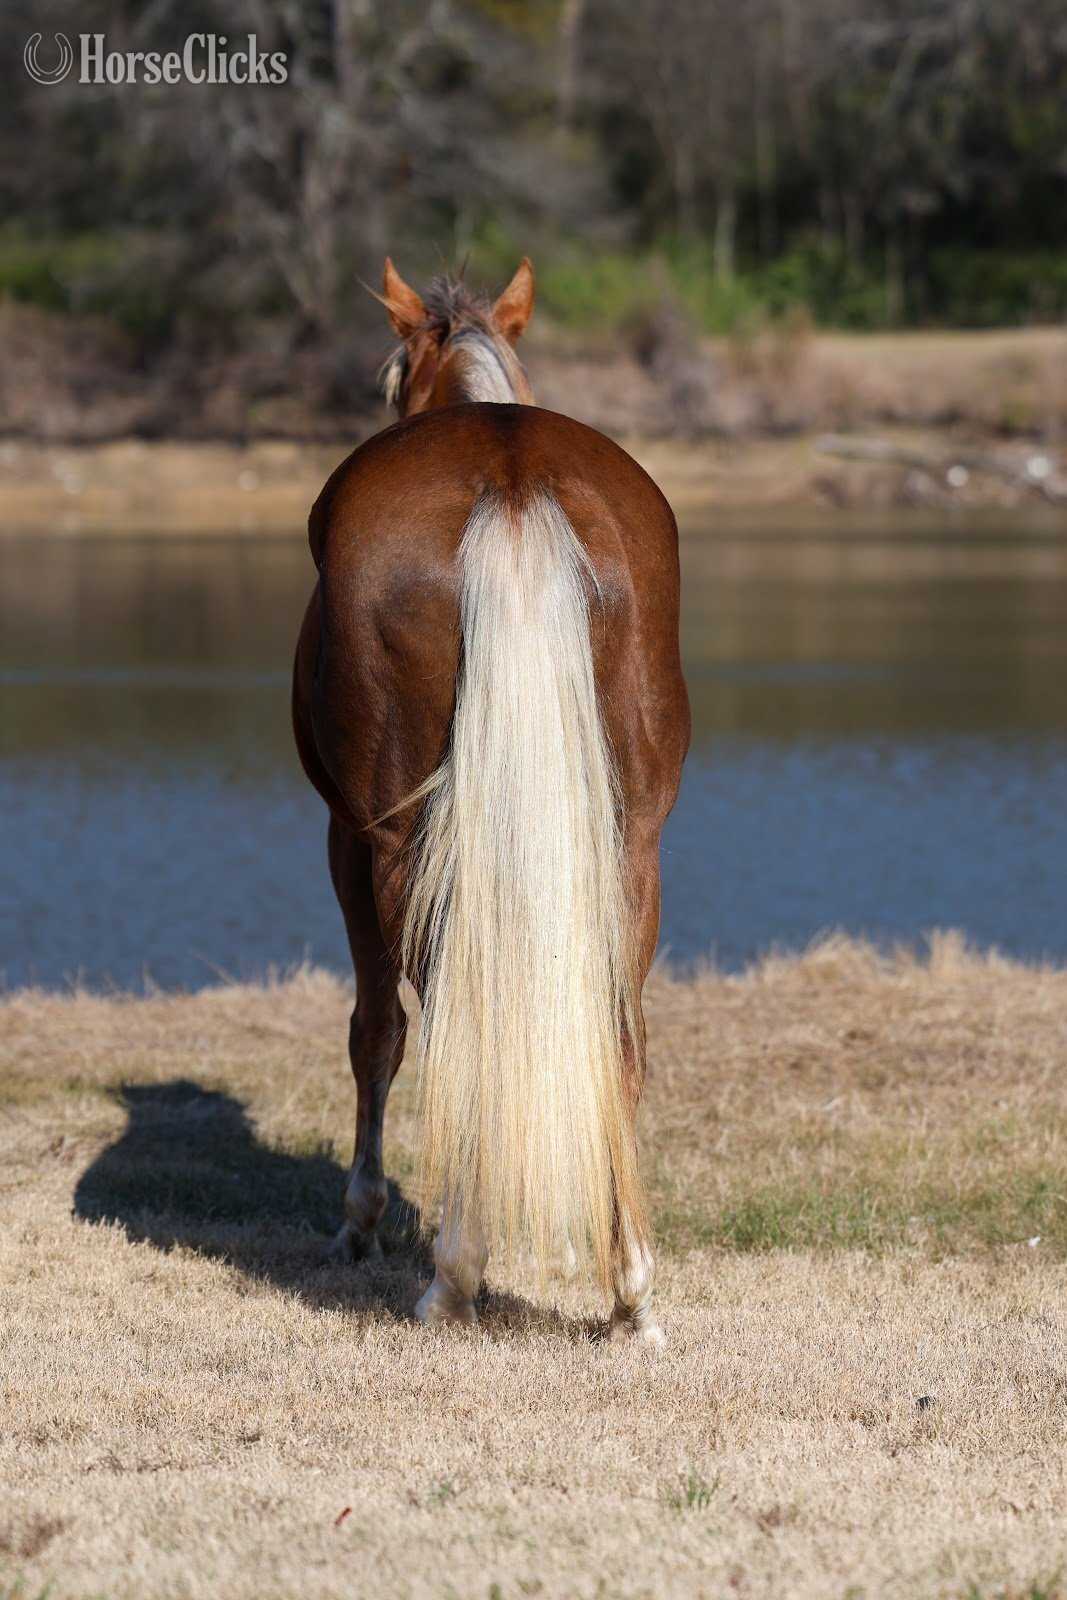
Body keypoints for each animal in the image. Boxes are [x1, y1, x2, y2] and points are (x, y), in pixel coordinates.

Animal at [292, 258, 689, 1341]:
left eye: (391, 374)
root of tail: (511, 485)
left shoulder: (344, 839)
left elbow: (376, 1032)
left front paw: (358, 1224)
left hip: (398, 843)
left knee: (443, 1019)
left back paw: (453, 1274)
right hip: (630, 845)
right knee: (617, 1030)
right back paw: (631, 1290)